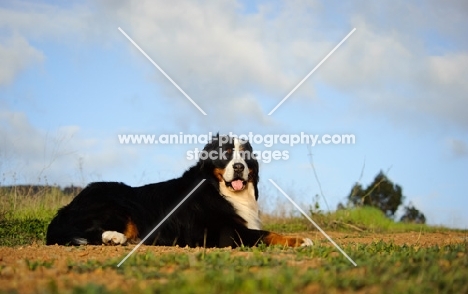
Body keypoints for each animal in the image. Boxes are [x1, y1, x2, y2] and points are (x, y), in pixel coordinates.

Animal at [45, 134, 312, 247]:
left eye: (245, 155)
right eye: (225, 153)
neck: (217, 190)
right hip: (116, 204)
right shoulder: (225, 234)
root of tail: (67, 207)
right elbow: (266, 234)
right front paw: (301, 240)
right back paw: (115, 237)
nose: (238, 167)